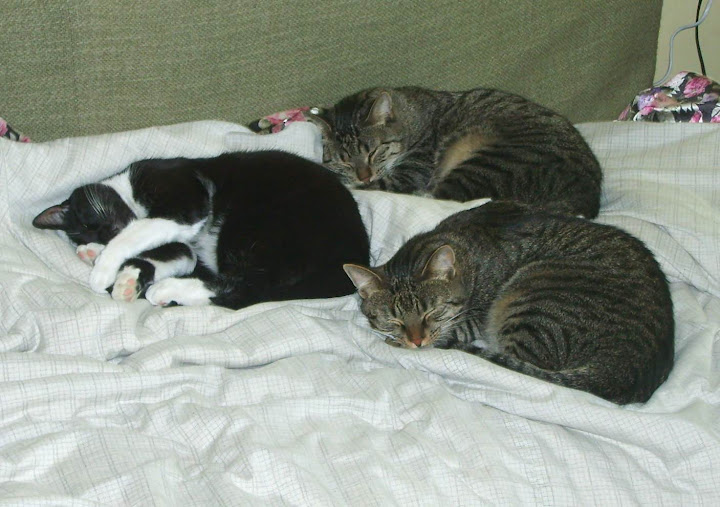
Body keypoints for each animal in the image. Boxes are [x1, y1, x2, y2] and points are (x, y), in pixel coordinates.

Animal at [32, 150, 370, 310]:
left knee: (247, 290)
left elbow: (140, 230)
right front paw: (122, 275)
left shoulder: (185, 200)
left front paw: (104, 268)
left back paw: (166, 291)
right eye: (92, 230)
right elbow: (176, 253)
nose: (106, 234)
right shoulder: (182, 242)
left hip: (255, 229)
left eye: (90, 220)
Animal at [343, 201, 674, 404]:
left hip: (533, 304)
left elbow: (452, 331)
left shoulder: (476, 316)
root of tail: (624, 371)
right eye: (394, 320)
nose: (415, 341)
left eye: (432, 313)